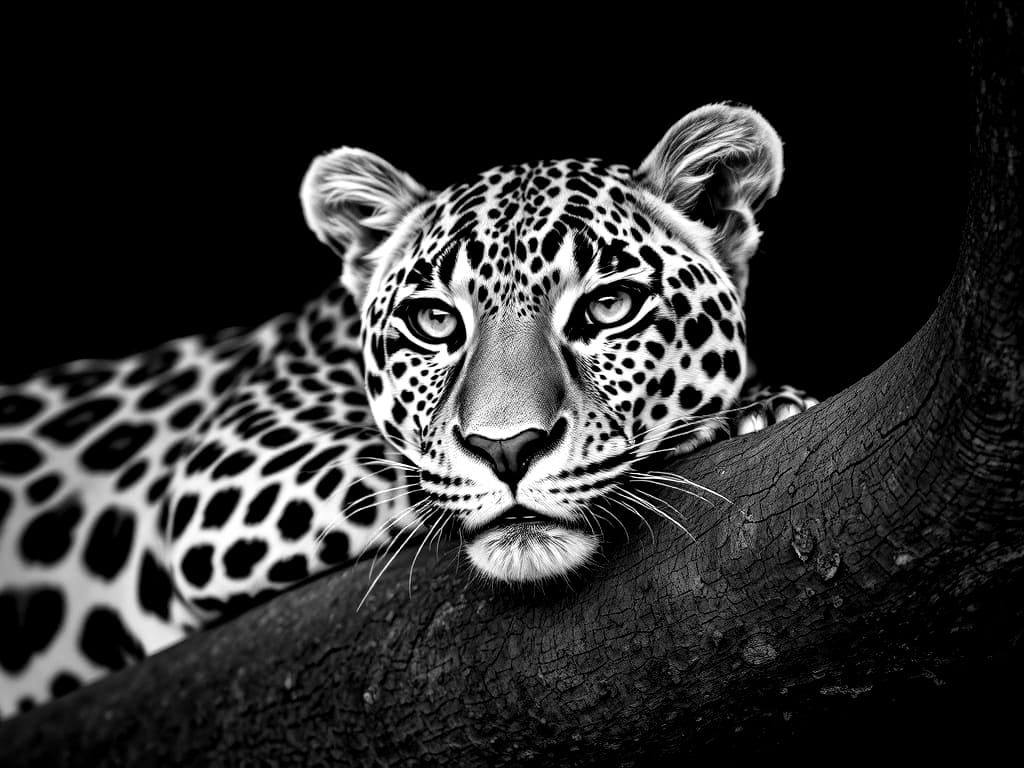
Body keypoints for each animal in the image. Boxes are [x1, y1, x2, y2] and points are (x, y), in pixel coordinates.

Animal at [0, 103, 816, 719]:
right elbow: (408, 471)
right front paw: (749, 409)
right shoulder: (228, 475)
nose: (509, 449)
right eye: (434, 322)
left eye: (608, 308)